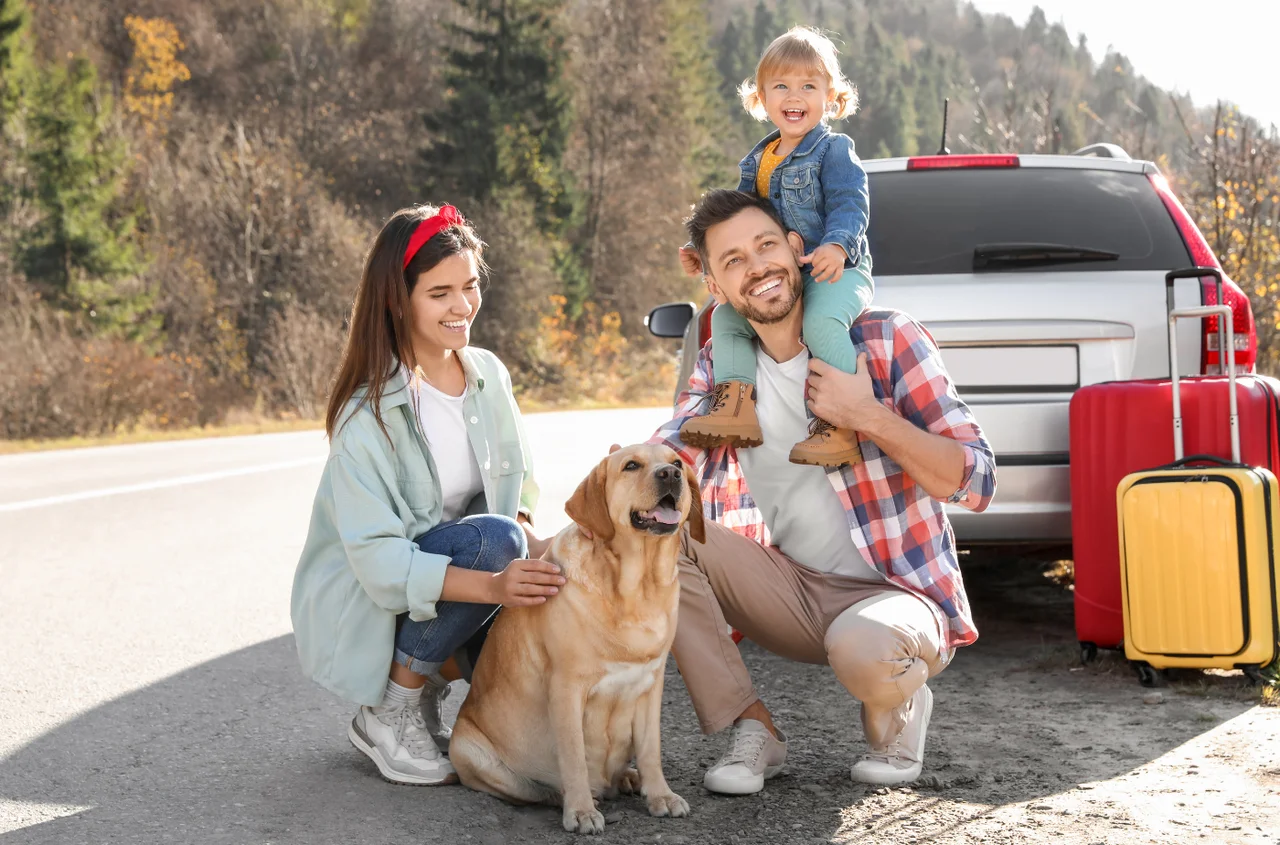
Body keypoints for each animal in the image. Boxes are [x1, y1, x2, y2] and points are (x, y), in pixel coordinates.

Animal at [450, 445, 706, 834]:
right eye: (631, 465)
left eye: (677, 462)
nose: (670, 475)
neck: (637, 588)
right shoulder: (567, 687)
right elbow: (573, 756)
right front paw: (582, 810)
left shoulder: (651, 685)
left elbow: (651, 749)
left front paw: (660, 794)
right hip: (468, 750)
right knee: (536, 789)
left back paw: (628, 779)